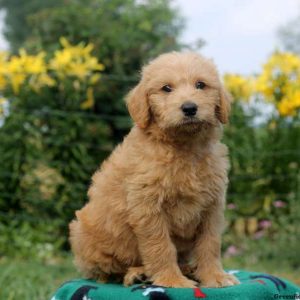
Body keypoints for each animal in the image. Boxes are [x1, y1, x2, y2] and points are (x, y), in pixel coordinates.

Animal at [69, 51, 240, 288]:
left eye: (200, 84)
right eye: (166, 88)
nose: (189, 108)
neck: (184, 147)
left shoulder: (211, 206)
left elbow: (210, 243)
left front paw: (214, 276)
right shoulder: (148, 206)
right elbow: (160, 246)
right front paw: (171, 280)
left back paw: (187, 268)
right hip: (87, 233)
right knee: (107, 272)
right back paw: (138, 273)